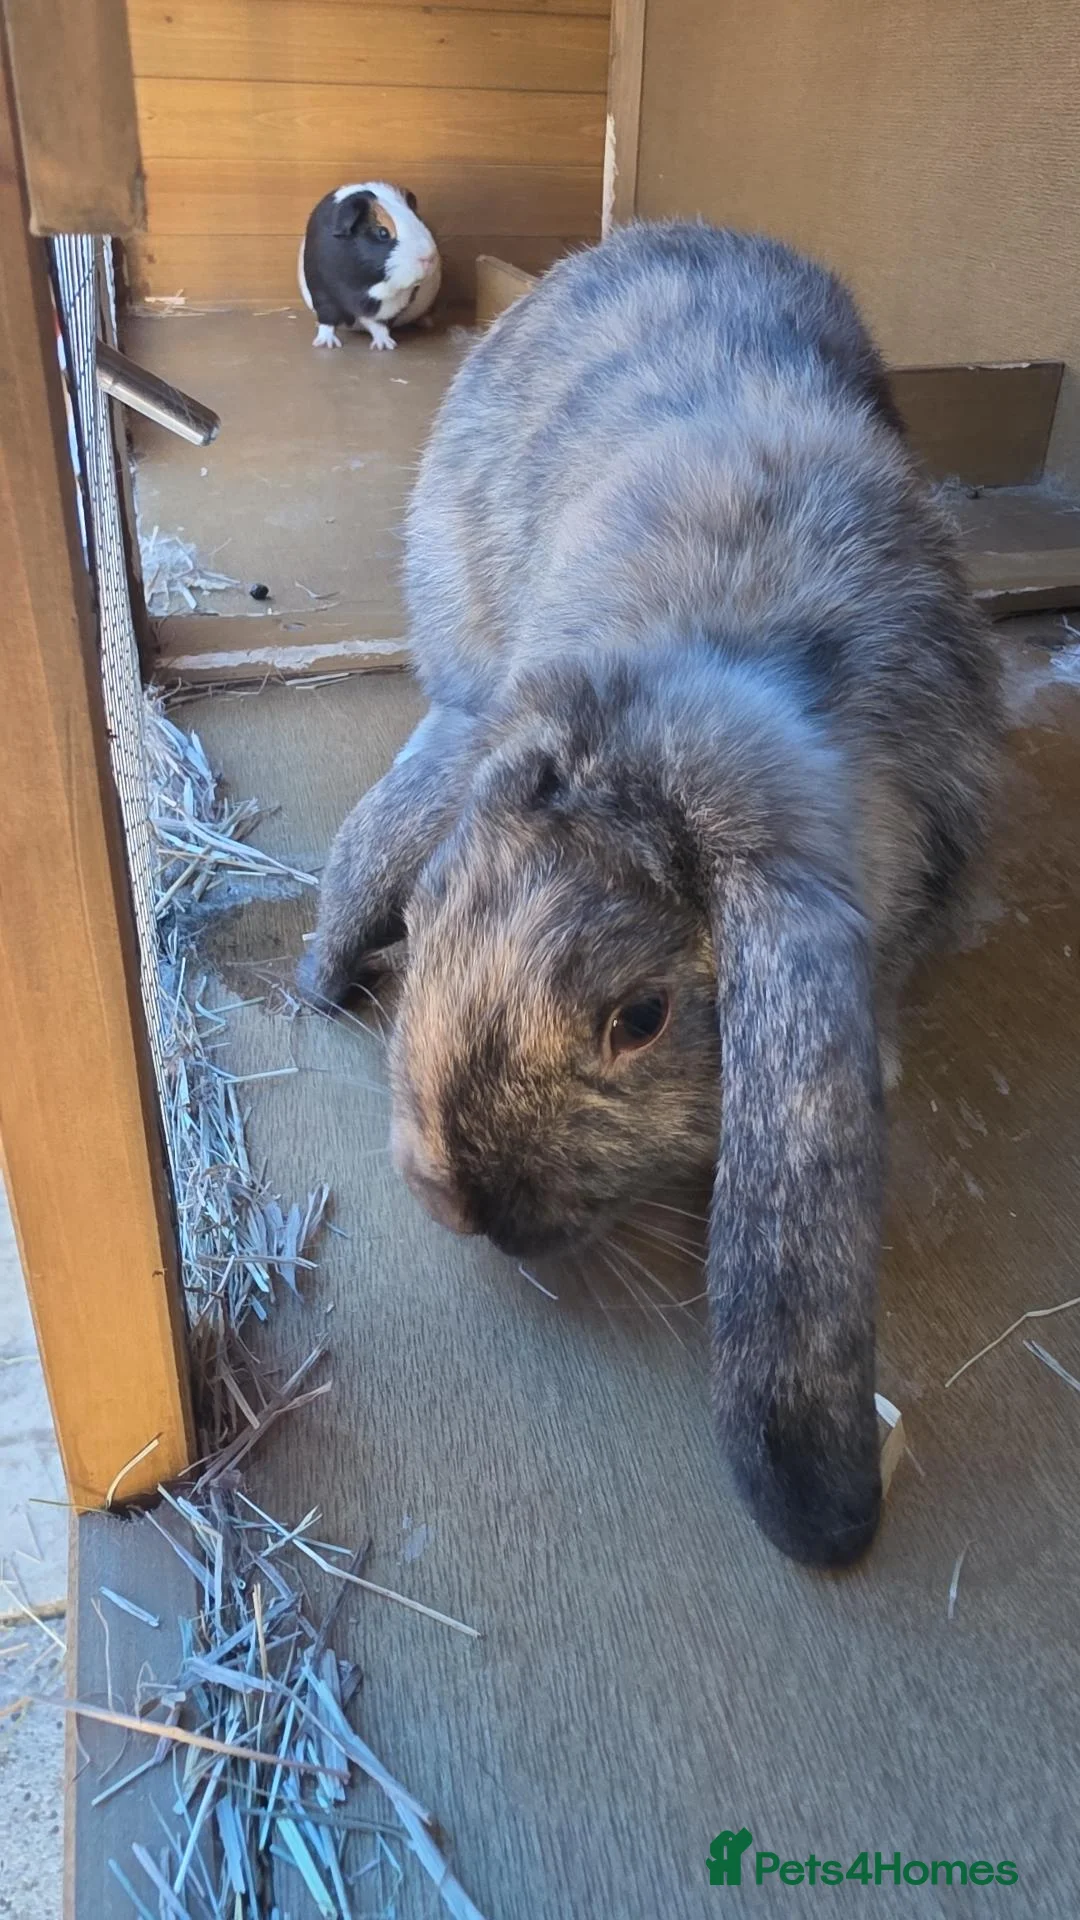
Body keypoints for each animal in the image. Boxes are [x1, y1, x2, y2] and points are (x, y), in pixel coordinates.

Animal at [298, 182, 440, 351]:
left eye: (419, 220)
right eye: (383, 232)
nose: (429, 257)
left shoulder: (391, 305)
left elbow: (378, 324)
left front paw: (385, 346)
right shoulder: (323, 293)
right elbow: (328, 321)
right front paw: (326, 344)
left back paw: (427, 323)